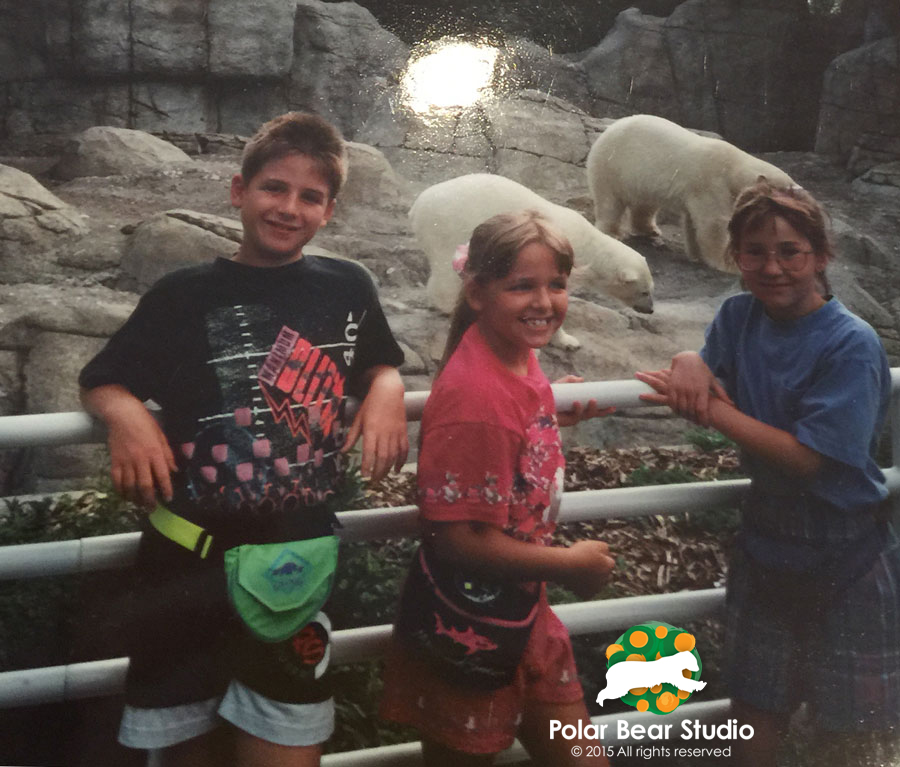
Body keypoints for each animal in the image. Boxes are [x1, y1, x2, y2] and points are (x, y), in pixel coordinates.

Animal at [410, 172, 652, 350]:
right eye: (644, 292)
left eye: (651, 289)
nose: (650, 309)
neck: (590, 246)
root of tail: (417, 205)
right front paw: (567, 340)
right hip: (447, 226)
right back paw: (449, 306)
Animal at [588, 112, 800, 272]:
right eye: (787, 190)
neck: (733, 167)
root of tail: (604, 134)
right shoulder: (711, 183)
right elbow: (713, 223)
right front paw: (728, 264)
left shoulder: (697, 190)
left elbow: (693, 222)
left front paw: (696, 254)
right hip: (613, 166)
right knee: (610, 202)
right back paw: (613, 232)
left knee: (645, 204)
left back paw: (650, 229)